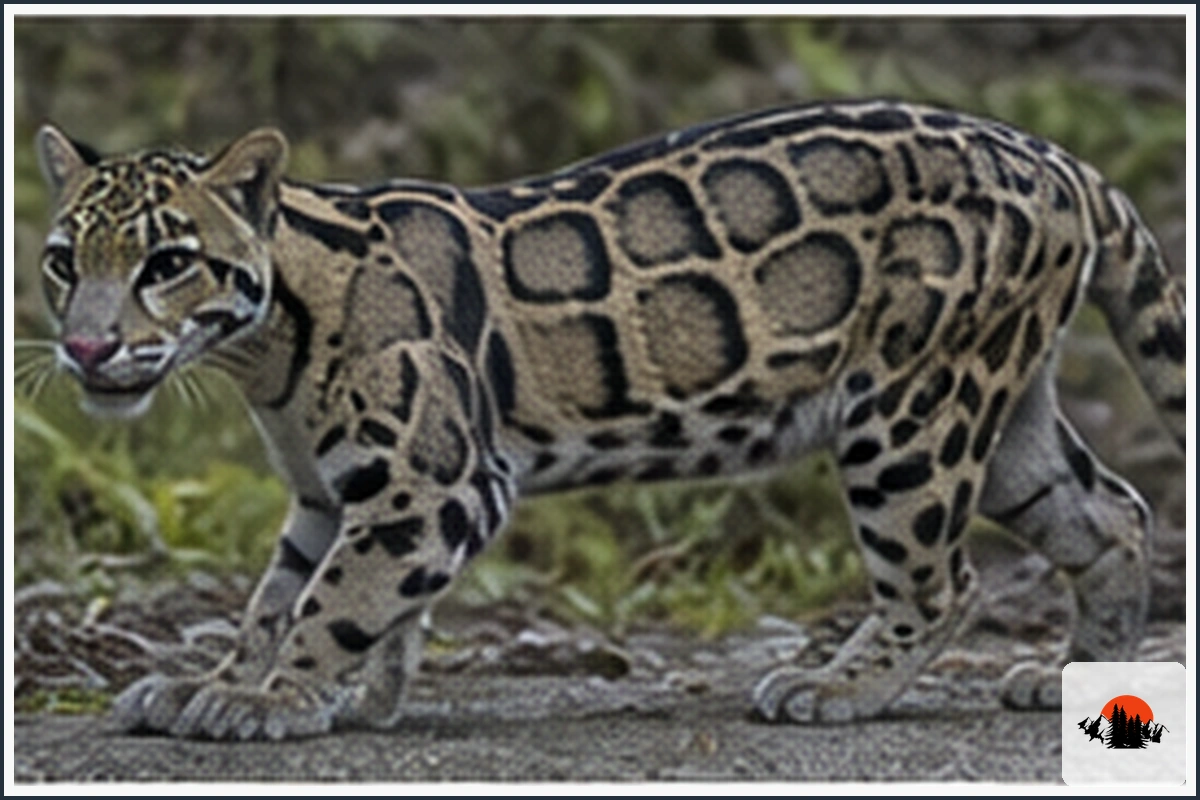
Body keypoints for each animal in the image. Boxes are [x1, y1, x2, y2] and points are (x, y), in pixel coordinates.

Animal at [33, 99, 1185, 740]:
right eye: (61, 262)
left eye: (168, 262)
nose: (86, 349)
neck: (265, 350)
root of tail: (1054, 156)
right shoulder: (332, 490)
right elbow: (277, 602)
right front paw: (249, 684)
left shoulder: (437, 482)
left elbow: (332, 602)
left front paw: (271, 702)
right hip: (996, 410)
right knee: (1113, 512)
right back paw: (1079, 672)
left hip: (912, 408)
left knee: (942, 581)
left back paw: (834, 685)